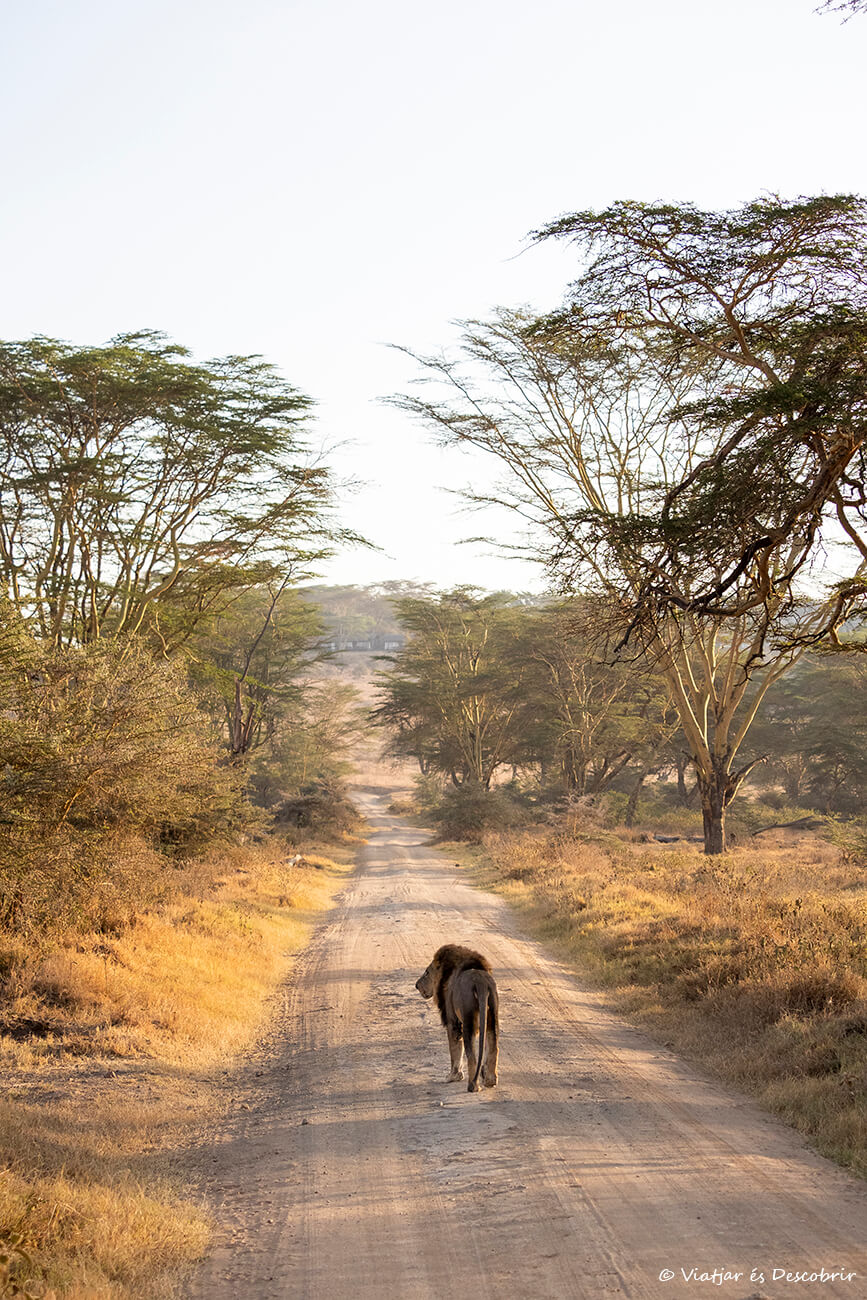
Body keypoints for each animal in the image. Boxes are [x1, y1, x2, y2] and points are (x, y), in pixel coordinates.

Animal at [415, 944, 499, 1092]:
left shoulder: (452, 1021)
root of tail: (480, 983)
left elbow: (455, 1049)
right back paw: (490, 1081)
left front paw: (453, 1076)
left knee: (472, 1056)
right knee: (493, 1047)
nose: (416, 985)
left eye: (426, 973)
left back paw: (473, 1086)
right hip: (492, 1018)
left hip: (468, 1021)